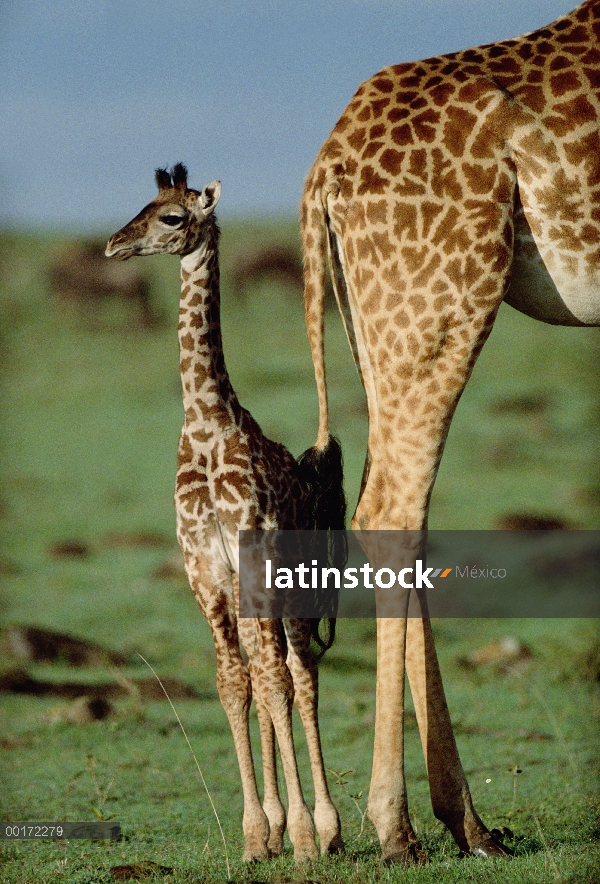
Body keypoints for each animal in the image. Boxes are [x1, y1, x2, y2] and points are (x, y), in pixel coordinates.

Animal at [105, 166, 344, 864]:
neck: (207, 425)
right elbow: (234, 685)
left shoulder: (254, 557)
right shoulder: (205, 572)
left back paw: (329, 827)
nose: (112, 245)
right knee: (270, 677)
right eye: (144, 205)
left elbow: (273, 682)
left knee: (300, 671)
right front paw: (256, 835)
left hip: (296, 586)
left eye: (171, 219)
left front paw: (303, 836)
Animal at [302, 0, 600, 868]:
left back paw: (468, 822)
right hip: (442, 294)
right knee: (392, 510)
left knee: (395, 506)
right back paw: (396, 827)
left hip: (378, 318)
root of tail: (324, 171)